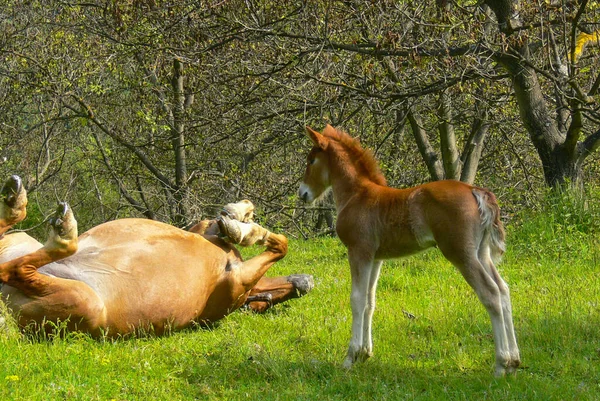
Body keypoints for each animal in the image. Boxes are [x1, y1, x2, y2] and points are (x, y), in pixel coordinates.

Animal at [2, 175, 314, 334]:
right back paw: (16, 200)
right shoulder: (204, 231)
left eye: (264, 305)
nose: (306, 281)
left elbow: (280, 245)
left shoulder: (237, 280)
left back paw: (58, 227)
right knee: (13, 252)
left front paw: (241, 226)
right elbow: (272, 237)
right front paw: (239, 218)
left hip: (85, 301)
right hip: (20, 242)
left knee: (15, 269)